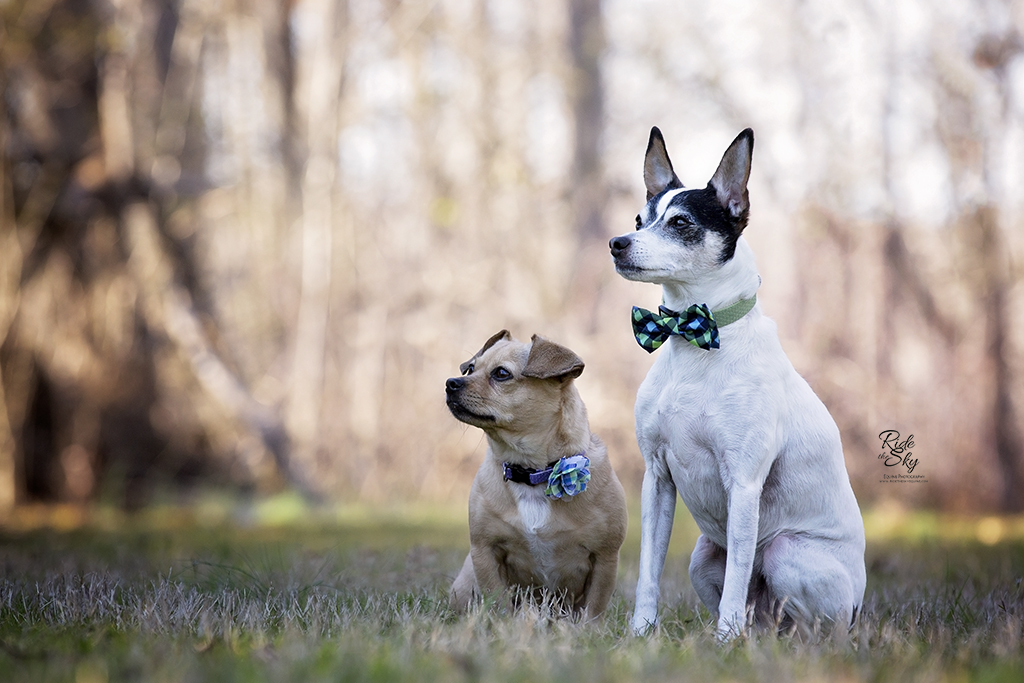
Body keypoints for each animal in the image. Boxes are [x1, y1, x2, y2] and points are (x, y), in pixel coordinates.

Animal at [444, 327, 626, 622]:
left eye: (501, 373)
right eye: (470, 368)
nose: (451, 382)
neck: (533, 473)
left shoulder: (605, 558)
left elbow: (593, 610)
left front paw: (587, 631)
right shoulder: (485, 552)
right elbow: (498, 601)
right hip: (466, 584)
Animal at [606, 126, 864, 643]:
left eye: (681, 222)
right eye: (640, 219)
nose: (617, 242)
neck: (692, 337)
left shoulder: (743, 483)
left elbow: (737, 577)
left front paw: (724, 642)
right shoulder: (656, 479)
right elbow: (648, 571)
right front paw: (641, 631)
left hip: (786, 553)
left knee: (804, 626)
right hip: (703, 556)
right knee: (758, 613)